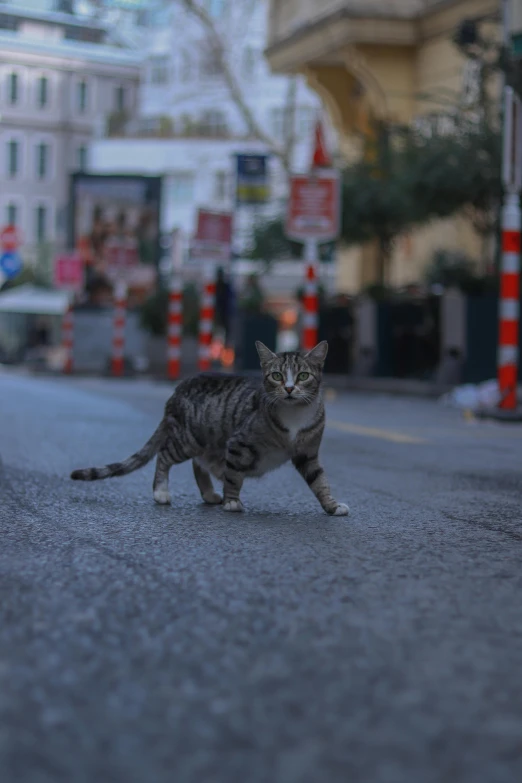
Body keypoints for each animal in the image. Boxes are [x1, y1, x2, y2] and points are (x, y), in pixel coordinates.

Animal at [68, 342, 346, 516]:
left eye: (302, 376)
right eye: (276, 376)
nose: (288, 389)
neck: (295, 414)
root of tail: (176, 390)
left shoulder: (307, 453)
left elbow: (319, 480)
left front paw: (331, 506)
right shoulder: (238, 443)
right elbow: (233, 476)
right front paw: (232, 501)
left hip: (207, 443)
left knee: (199, 463)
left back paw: (210, 493)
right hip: (191, 438)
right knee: (165, 455)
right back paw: (161, 492)